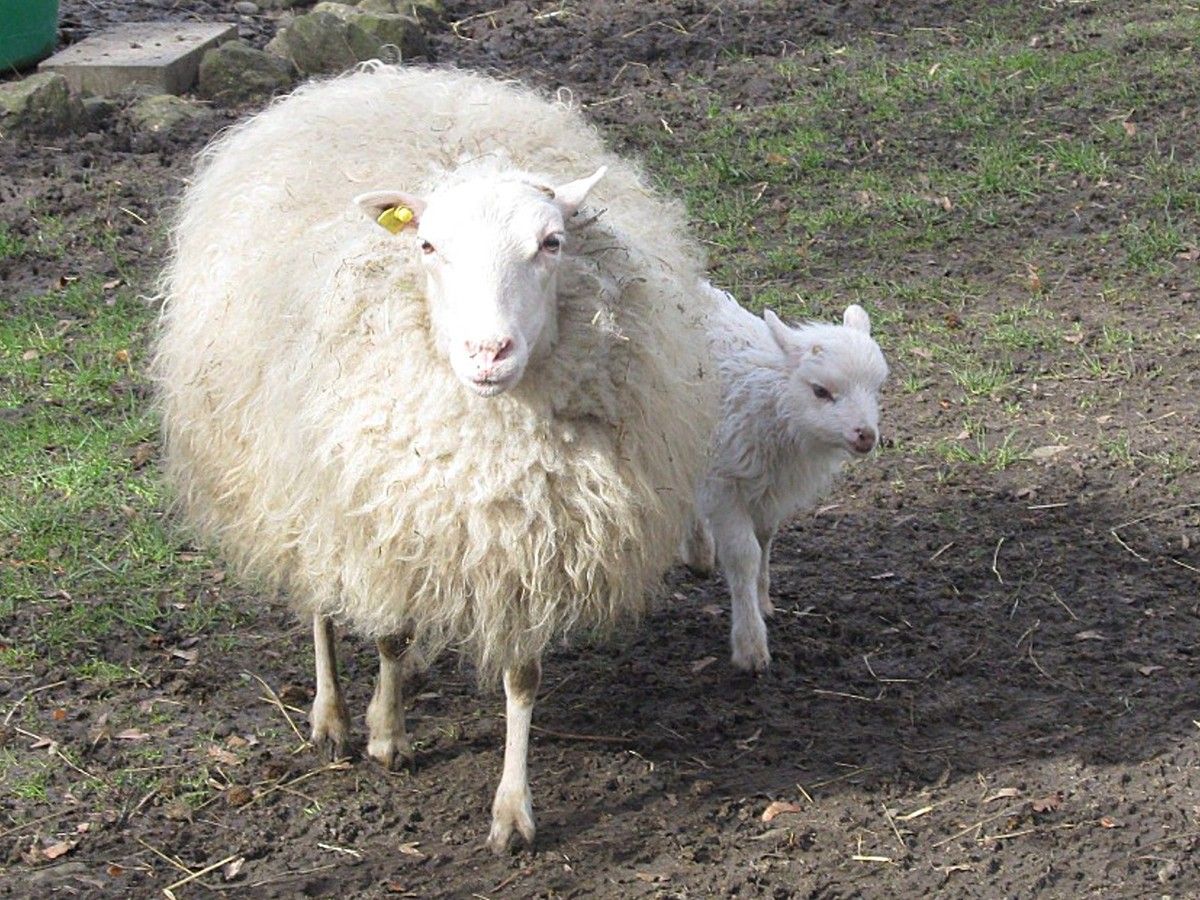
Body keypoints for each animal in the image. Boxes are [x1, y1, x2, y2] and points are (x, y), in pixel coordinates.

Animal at [153, 64, 718, 853]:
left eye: (552, 242)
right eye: (426, 247)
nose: (488, 352)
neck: (493, 432)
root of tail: (375, 78)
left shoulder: (528, 538)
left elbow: (522, 676)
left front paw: (512, 810)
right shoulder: (380, 514)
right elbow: (387, 630)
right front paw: (386, 734)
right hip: (301, 481)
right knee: (322, 599)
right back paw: (330, 714)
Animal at [682, 283, 889, 672]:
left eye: (876, 388)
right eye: (820, 391)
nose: (865, 436)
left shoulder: (770, 486)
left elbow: (765, 539)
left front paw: (763, 602)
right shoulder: (724, 483)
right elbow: (743, 554)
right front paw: (750, 644)